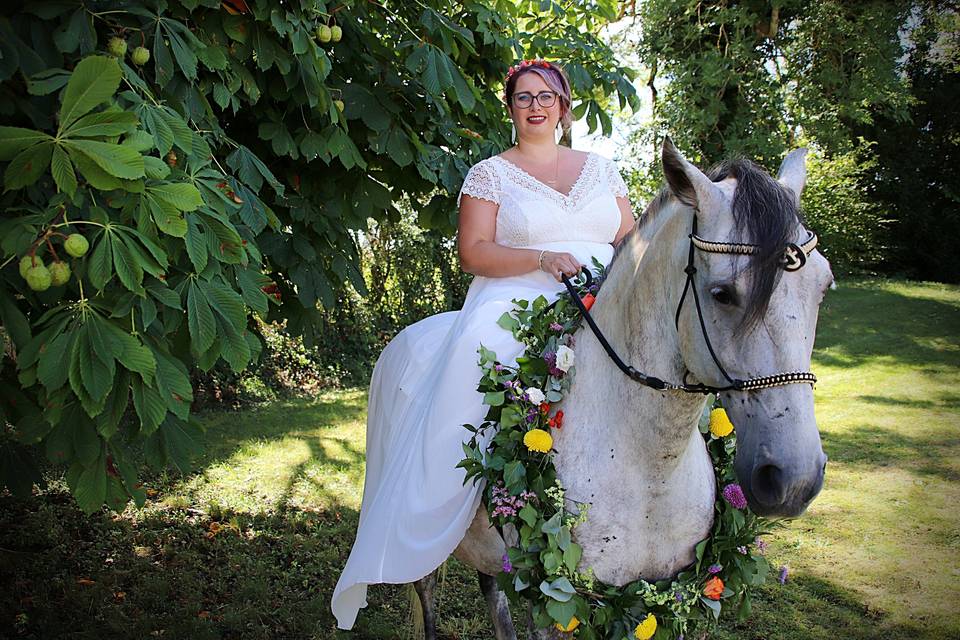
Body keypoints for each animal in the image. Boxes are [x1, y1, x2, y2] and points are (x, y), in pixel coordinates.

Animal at [416, 141, 828, 640]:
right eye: (723, 293)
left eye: (824, 286)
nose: (794, 480)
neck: (648, 466)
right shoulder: (551, 604)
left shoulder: (670, 599)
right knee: (427, 592)